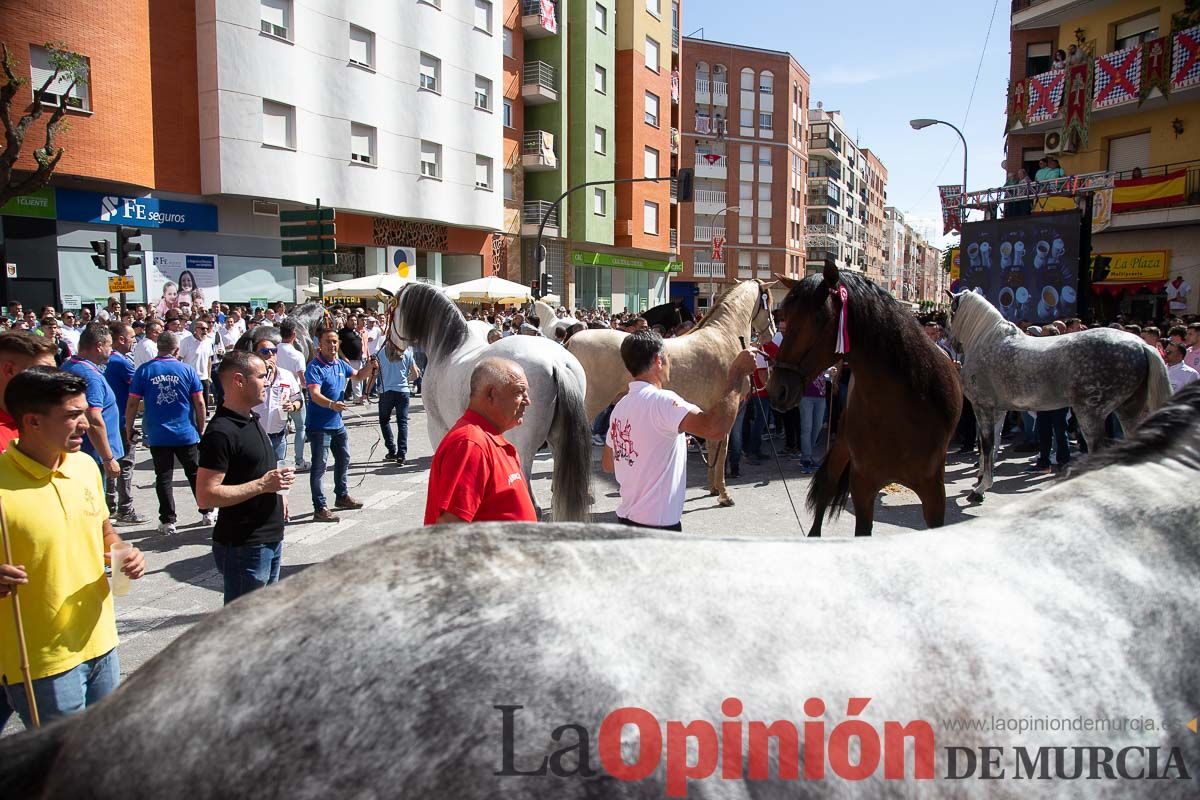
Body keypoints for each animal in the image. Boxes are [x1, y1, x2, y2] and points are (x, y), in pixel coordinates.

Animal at [768, 262, 964, 537]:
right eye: (784, 318)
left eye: (820, 318)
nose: (778, 390)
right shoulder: (863, 487)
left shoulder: (934, 493)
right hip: (841, 445)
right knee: (826, 487)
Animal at [950, 287, 1166, 501]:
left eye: (951, 311)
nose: (954, 345)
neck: (987, 339)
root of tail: (1141, 345)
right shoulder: (999, 409)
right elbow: (993, 442)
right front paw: (982, 477)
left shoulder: (982, 406)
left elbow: (986, 443)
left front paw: (980, 489)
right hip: (1127, 410)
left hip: (1089, 413)